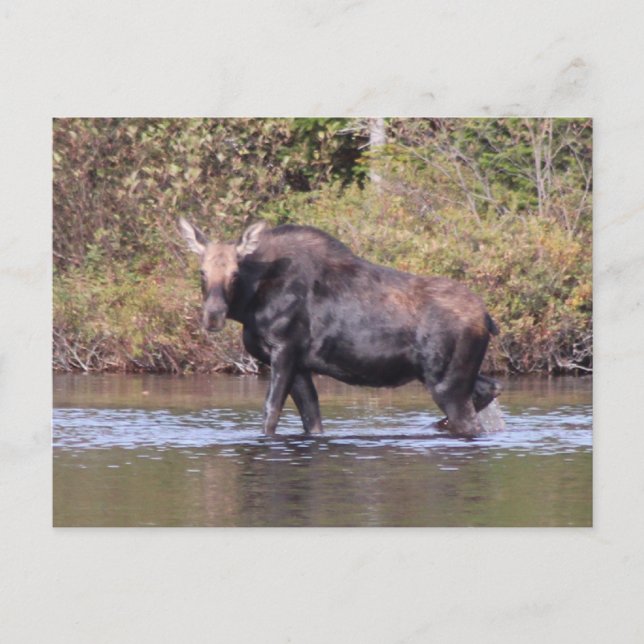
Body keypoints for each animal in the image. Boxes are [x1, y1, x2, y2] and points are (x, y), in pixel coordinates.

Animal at [179, 219, 501, 438]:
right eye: (202, 272)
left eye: (234, 274)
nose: (213, 315)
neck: (249, 304)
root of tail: (487, 318)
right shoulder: (300, 365)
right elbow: (312, 419)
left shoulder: (283, 350)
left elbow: (270, 412)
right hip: (455, 374)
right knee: (491, 388)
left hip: (446, 383)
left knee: (471, 422)